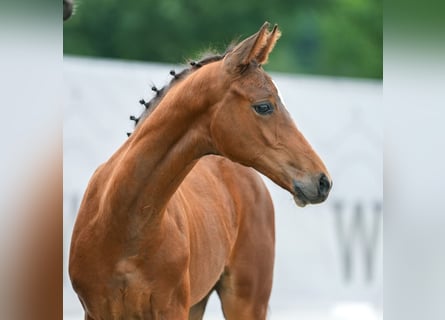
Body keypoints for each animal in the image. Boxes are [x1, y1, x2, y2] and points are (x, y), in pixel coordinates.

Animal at [68, 23, 330, 320]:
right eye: (264, 106)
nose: (322, 180)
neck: (123, 221)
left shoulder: (172, 308)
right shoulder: (96, 310)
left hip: (246, 301)